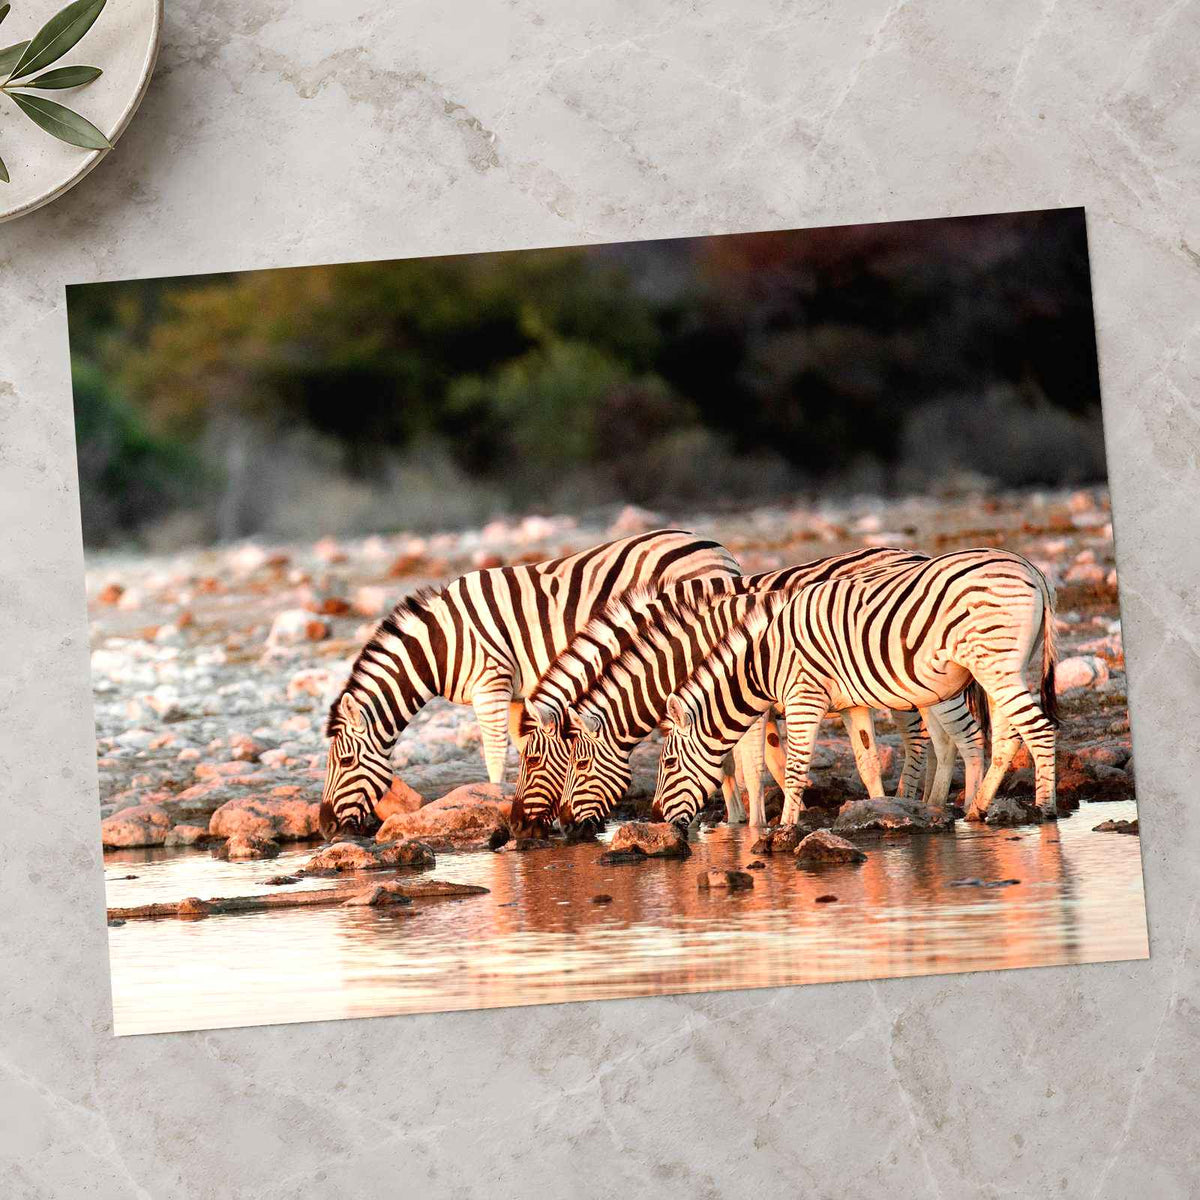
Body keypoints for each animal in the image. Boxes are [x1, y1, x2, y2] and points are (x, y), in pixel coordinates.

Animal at [320, 530, 740, 838]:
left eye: (343, 762)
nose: (325, 828)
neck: (439, 645)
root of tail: (715, 547)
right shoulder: (517, 695)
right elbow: (526, 747)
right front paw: (539, 814)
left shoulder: (491, 681)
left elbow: (494, 753)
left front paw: (494, 803)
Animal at [512, 548, 982, 833]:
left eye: (538, 763)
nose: (519, 825)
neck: (690, 644)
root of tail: (914, 553)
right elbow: (737, 762)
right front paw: (742, 819)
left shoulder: (746, 701)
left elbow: (749, 765)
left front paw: (753, 825)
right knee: (940, 740)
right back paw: (927, 803)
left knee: (927, 740)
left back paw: (917, 801)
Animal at [650, 548, 1058, 829]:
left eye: (668, 763)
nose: (656, 815)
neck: (763, 662)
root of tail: (1030, 568)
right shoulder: (851, 705)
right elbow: (867, 761)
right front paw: (881, 811)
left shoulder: (804, 697)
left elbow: (793, 766)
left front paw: (783, 830)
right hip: (998, 668)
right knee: (1007, 737)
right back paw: (976, 810)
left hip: (993, 664)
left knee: (1038, 729)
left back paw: (1045, 809)